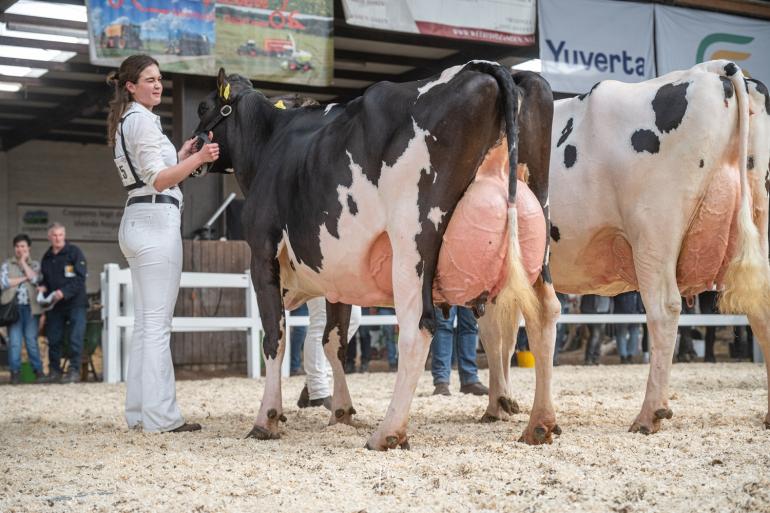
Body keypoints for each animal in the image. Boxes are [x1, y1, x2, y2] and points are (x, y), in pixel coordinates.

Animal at [195, 61, 548, 448]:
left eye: (202, 107)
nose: (192, 147)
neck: (268, 144)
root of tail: (485, 69)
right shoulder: (338, 276)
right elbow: (333, 342)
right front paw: (341, 412)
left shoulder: (262, 255)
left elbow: (275, 338)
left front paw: (266, 419)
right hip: (539, 229)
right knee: (544, 315)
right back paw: (540, 424)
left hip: (411, 242)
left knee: (417, 329)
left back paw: (388, 432)